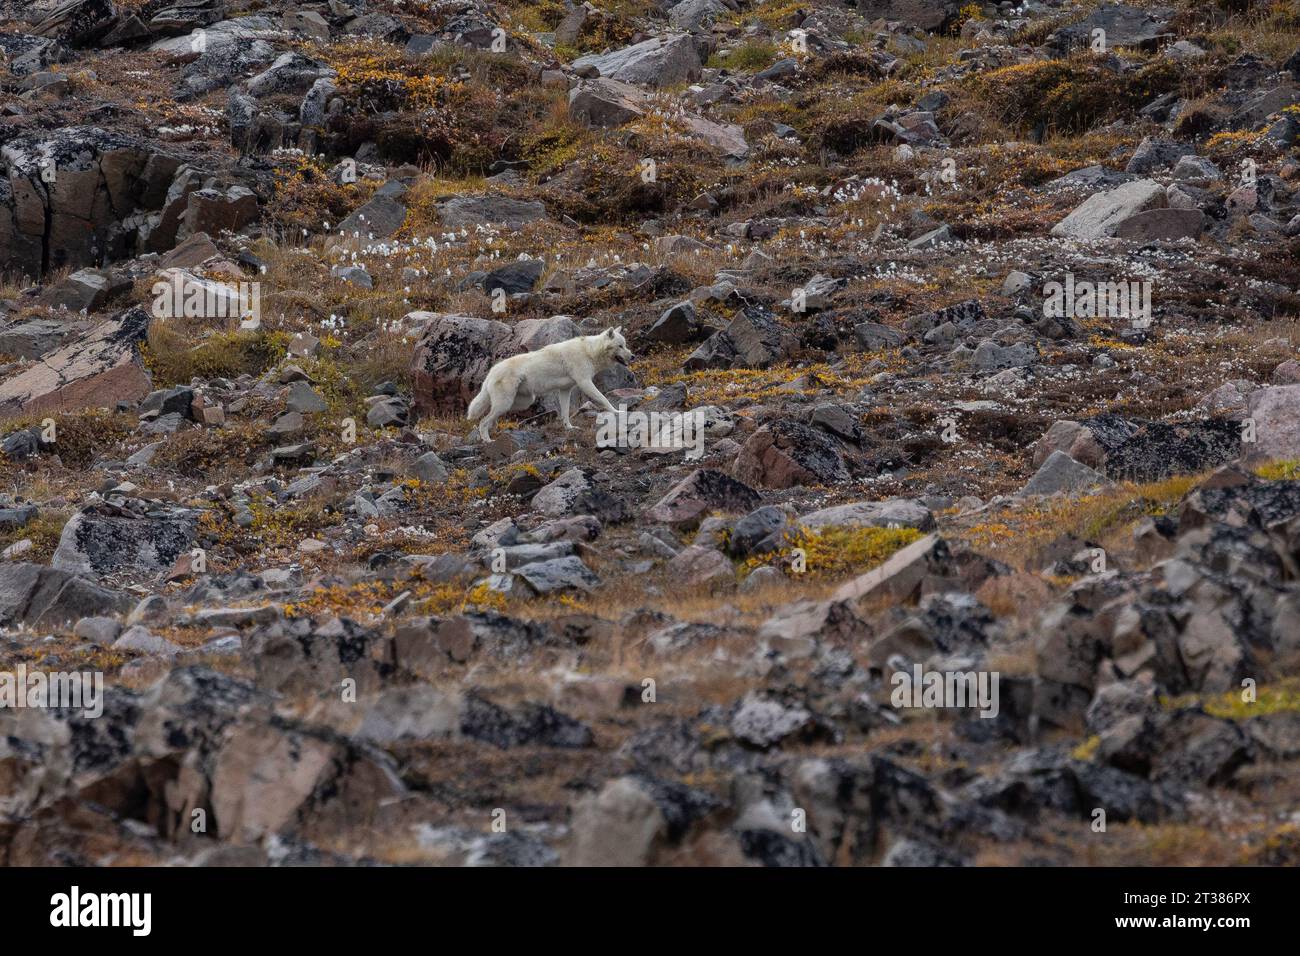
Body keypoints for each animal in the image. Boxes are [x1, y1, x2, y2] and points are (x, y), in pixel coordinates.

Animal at [466, 327, 634, 441]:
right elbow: (603, 399)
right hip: (506, 403)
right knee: (483, 421)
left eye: (625, 345)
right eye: (620, 346)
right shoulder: (585, 382)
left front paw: (569, 428)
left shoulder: (565, 390)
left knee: (490, 417)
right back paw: (487, 441)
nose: (633, 356)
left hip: (522, 402)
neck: (589, 351)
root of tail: (491, 371)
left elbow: (565, 412)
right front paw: (617, 411)